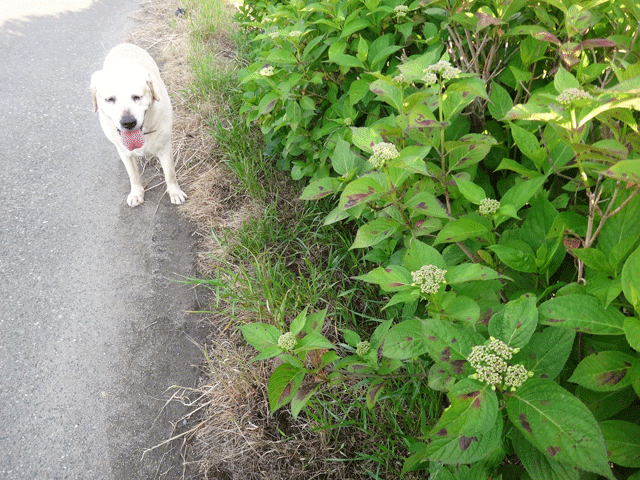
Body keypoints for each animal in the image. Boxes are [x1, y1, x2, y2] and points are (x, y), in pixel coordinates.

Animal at [90, 45, 186, 208]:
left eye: (137, 97)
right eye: (110, 99)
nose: (128, 122)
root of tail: (123, 44)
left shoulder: (165, 147)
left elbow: (170, 173)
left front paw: (175, 192)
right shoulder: (124, 153)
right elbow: (133, 175)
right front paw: (136, 193)